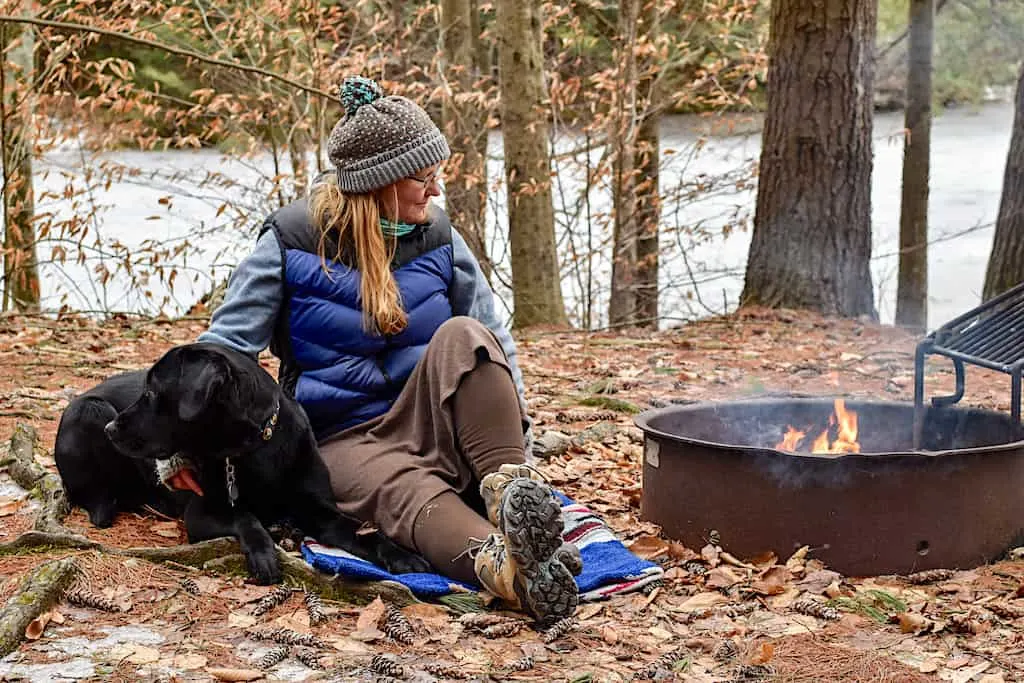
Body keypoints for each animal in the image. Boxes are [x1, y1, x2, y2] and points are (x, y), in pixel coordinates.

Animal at [54, 342, 430, 581]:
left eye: (152, 392)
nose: (112, 430)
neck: (252, 450)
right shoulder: (201, 513)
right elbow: (244, 515)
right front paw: (264, 550)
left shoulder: (319, 510)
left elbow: (362, 531)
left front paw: (402, 556)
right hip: (91, 409)